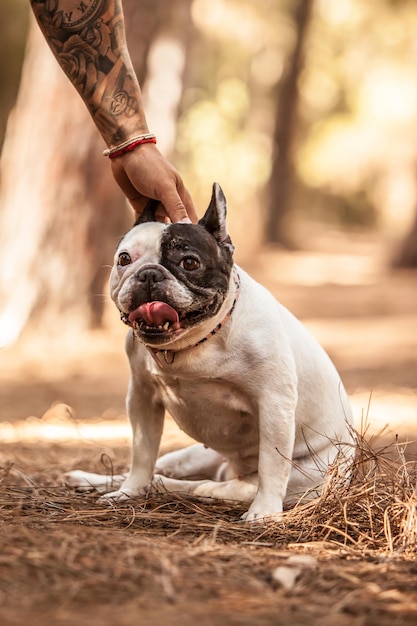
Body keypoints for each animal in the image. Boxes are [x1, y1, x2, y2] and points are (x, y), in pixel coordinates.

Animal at [66, 183, 352, 520]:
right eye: (124, 258)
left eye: (189, 262)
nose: (149, 273)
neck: (193, 343)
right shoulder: (141, 397)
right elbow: (142, 452)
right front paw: (129, 492)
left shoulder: (274, 403)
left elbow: (272, 464)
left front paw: (264, 512)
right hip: (193, 455)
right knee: (161, 467)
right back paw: (96, 480)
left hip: (301, 476)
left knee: (226, 486)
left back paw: (193, 489)